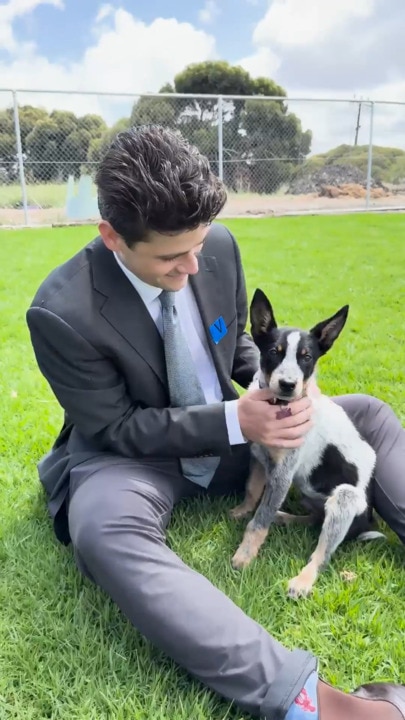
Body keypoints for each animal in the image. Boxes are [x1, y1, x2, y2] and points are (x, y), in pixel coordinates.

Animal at [230, 290, 382, 600]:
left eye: (307, 357)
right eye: (273, 352)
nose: (288, 384)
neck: (278, 407)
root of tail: (367, 523)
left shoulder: (282, 474)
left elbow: (259, 521)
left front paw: (245, 555)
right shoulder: (259, 458)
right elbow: (252, 491)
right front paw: (243, 510)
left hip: (345, 498)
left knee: (321, 554)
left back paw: (302, 581)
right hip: (310, 499)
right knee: (314, 519)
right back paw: (285, 518)